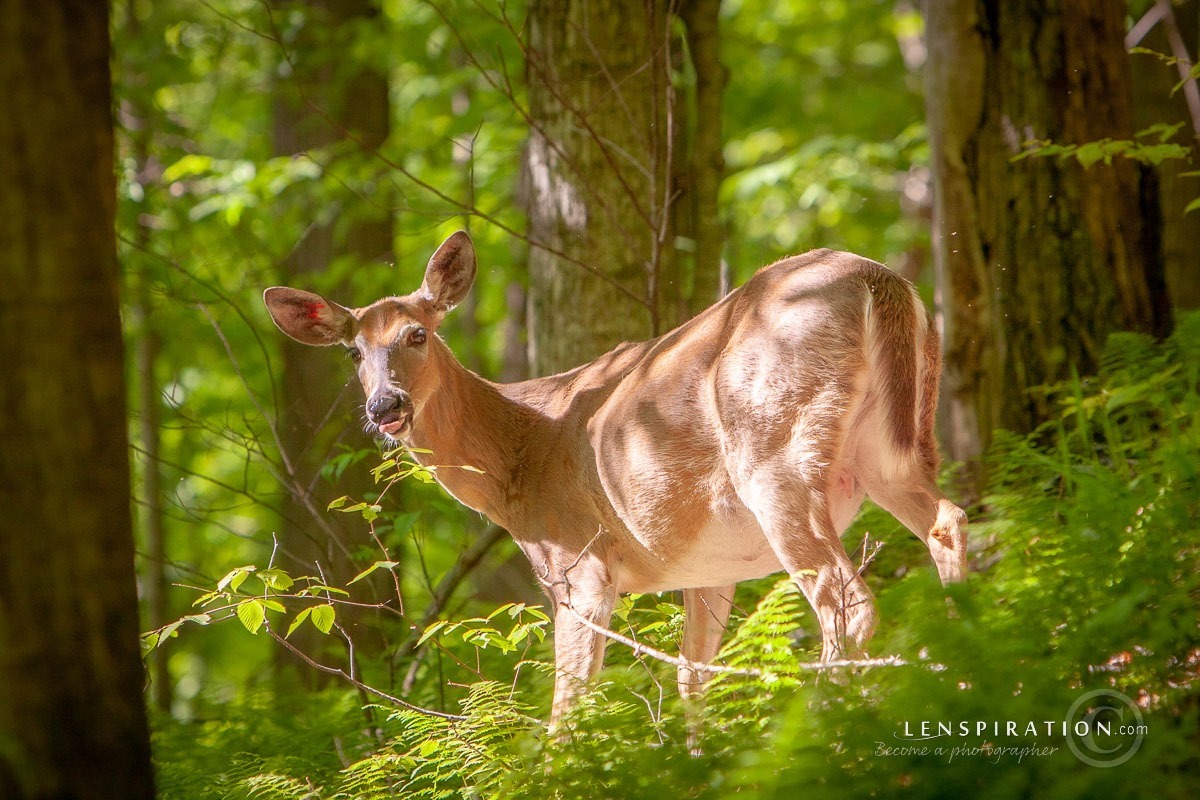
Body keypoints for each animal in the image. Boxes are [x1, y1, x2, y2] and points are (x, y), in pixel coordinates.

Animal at [262, 230, 964, 734]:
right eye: (354, 351)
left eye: (418, 333)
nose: (385, 406)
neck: (522, 457)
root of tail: (880, 279)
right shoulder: (708, 564)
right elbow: (692, 679)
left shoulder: (581, 565)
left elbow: (566, 709)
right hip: (894, 448)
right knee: (947, 523)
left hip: (775, 457)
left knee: (846, 603)